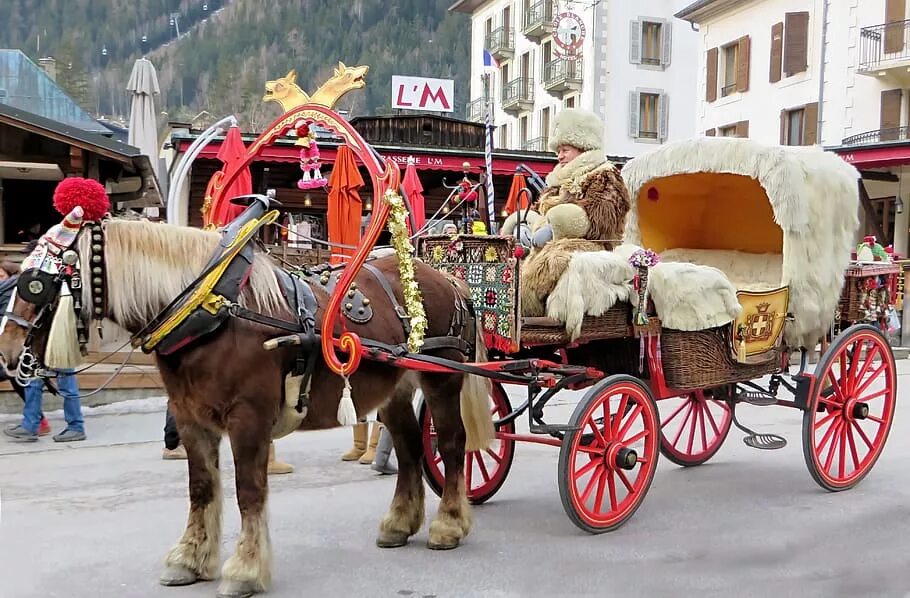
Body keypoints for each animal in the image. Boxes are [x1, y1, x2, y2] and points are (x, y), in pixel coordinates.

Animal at [0, 216, 496, 598]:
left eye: (37, 285)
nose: (6, 355)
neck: (210, 309)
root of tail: (447, 277)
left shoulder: (248, 419)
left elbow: (248, 492)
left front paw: (246, 568)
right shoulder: (191, 418)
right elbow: (201, 489)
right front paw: (190, 558)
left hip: (441, 377)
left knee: (451, 445)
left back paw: (448, 524)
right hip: (391, 388)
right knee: (410, 448)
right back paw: (399, 523)